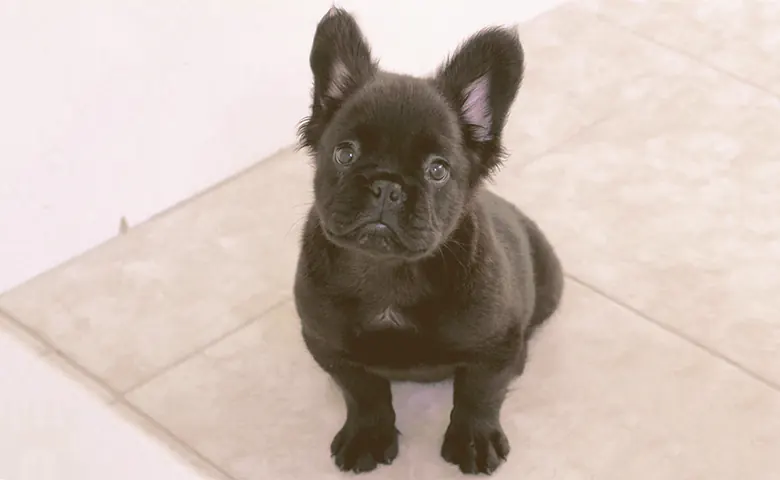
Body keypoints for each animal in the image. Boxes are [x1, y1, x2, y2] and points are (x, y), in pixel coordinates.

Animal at [292, 7, 560, 476]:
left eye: (437, 170)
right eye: (344, 153)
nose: (387, 186)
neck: (388, 273)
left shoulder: (493, 347)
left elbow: (479, 394)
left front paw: (474, 440)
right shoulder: (329, 345)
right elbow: (363, 394)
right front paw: (368, 435)